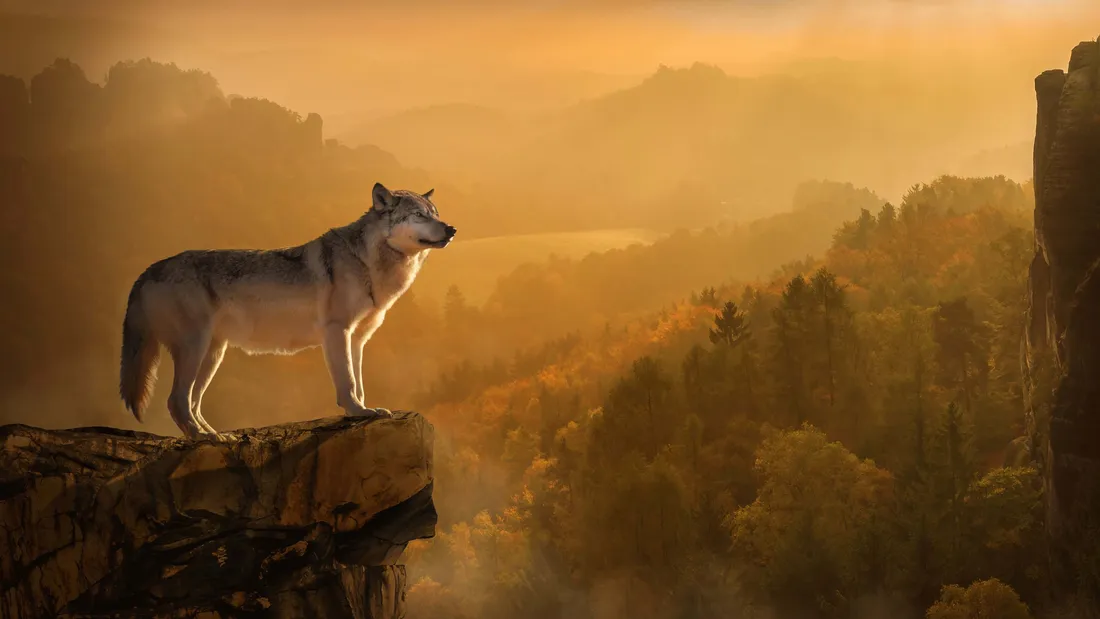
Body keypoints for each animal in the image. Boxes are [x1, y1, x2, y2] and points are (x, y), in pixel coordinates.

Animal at [118, 183, 455, 440]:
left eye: (436, 214)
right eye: (419, 215)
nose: (452, 229)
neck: (368, 262)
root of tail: (148, 270)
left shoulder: (357, 339)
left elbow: (359, 383)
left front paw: (364, 410)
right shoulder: (337, 332)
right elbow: (347, 382)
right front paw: (357, 412)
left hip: (213, 354)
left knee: (193, 402)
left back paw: (215, 435)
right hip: (195, 348)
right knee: (177, 401)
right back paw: (203, 438)